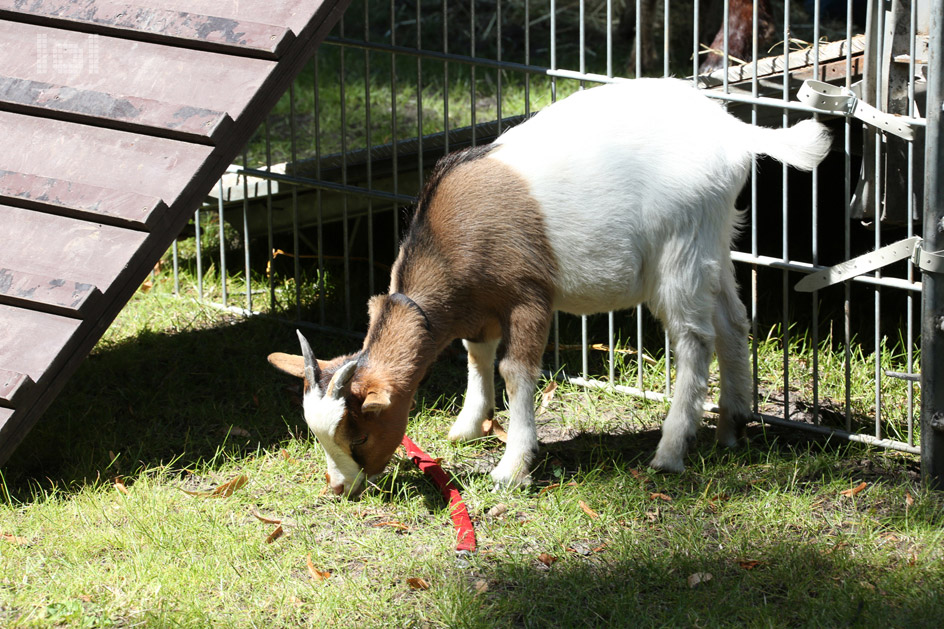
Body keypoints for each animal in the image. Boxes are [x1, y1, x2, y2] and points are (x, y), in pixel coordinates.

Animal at [268, 77, 832, 496]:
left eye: (361, 434)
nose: (340, 488)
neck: (450, 239)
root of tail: (735, 133)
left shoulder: (528, 296)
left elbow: (515, 371)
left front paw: (512, 466)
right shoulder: (481, 308)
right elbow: (477, 357)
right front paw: (467, 427)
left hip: (681, 249)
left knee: (695, 340)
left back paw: (670, 452)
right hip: (714, 244)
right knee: (734, 323)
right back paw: (733, 427)